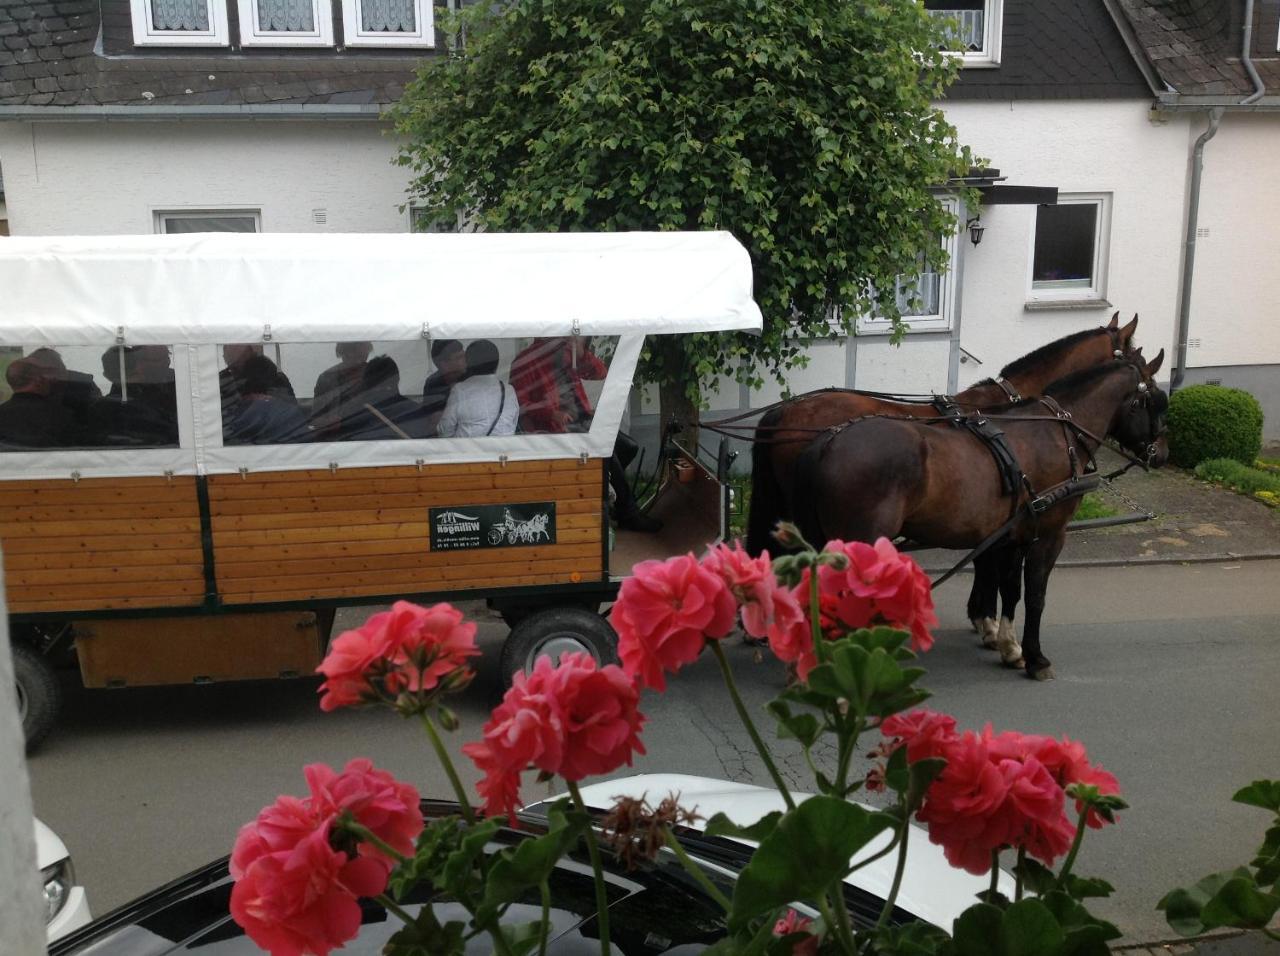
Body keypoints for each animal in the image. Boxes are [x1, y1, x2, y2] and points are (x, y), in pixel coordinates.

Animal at [793, 353, 1167, 680]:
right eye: (1158, 401)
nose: (1162, 454)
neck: (1058, 433)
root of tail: (828, 442)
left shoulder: (1014, 534)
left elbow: (1011, 590)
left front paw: (1010, 647)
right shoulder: (1049, 534)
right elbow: (1035, 594)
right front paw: (1036, 658)